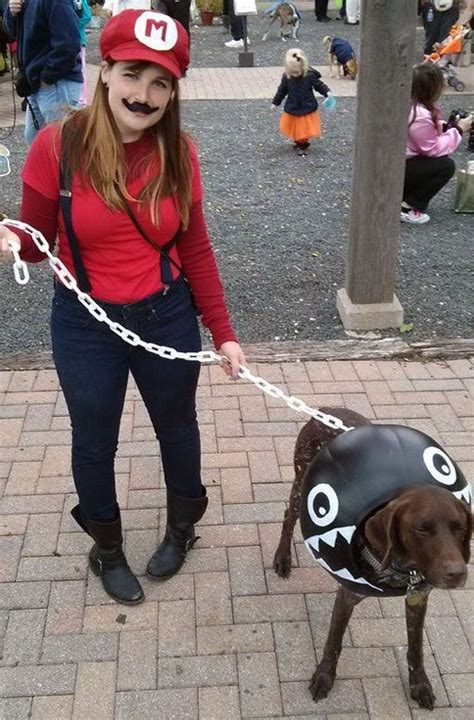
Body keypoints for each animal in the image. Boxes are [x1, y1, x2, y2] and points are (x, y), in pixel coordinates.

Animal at [272, 408, 472, 712]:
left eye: (459, 527)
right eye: (421, 528)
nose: (457, 573)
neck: (402, 570)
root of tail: (325, 409)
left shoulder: (418, 599)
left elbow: (416, 648)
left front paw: (420, 684)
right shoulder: (347, 595)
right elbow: (333, 642)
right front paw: (324, 677)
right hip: (299, 485)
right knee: (288, 516)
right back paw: (282, 558)